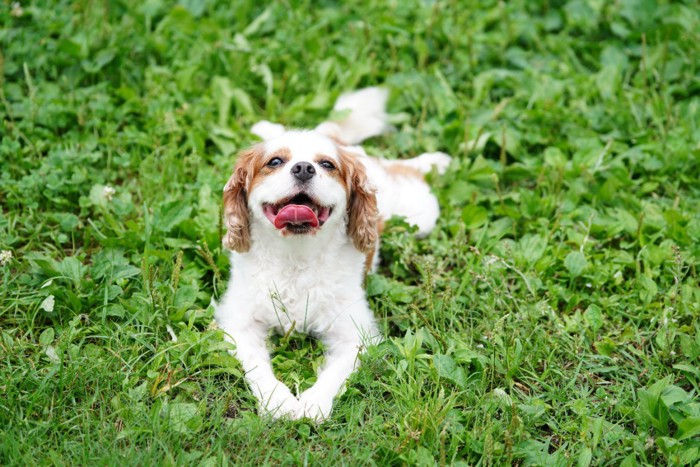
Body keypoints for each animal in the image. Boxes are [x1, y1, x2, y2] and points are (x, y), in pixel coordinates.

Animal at [216, 87, 452, 420]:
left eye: (327, 165)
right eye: (275, 161)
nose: (304, 167)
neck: (296, 256)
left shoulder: (354, 334)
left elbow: (336, 372)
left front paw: (313, 403)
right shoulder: (240, 325)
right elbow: (257, 366)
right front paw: (279, 401)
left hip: (421, 214)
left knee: (408, 168)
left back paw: (436, 161)